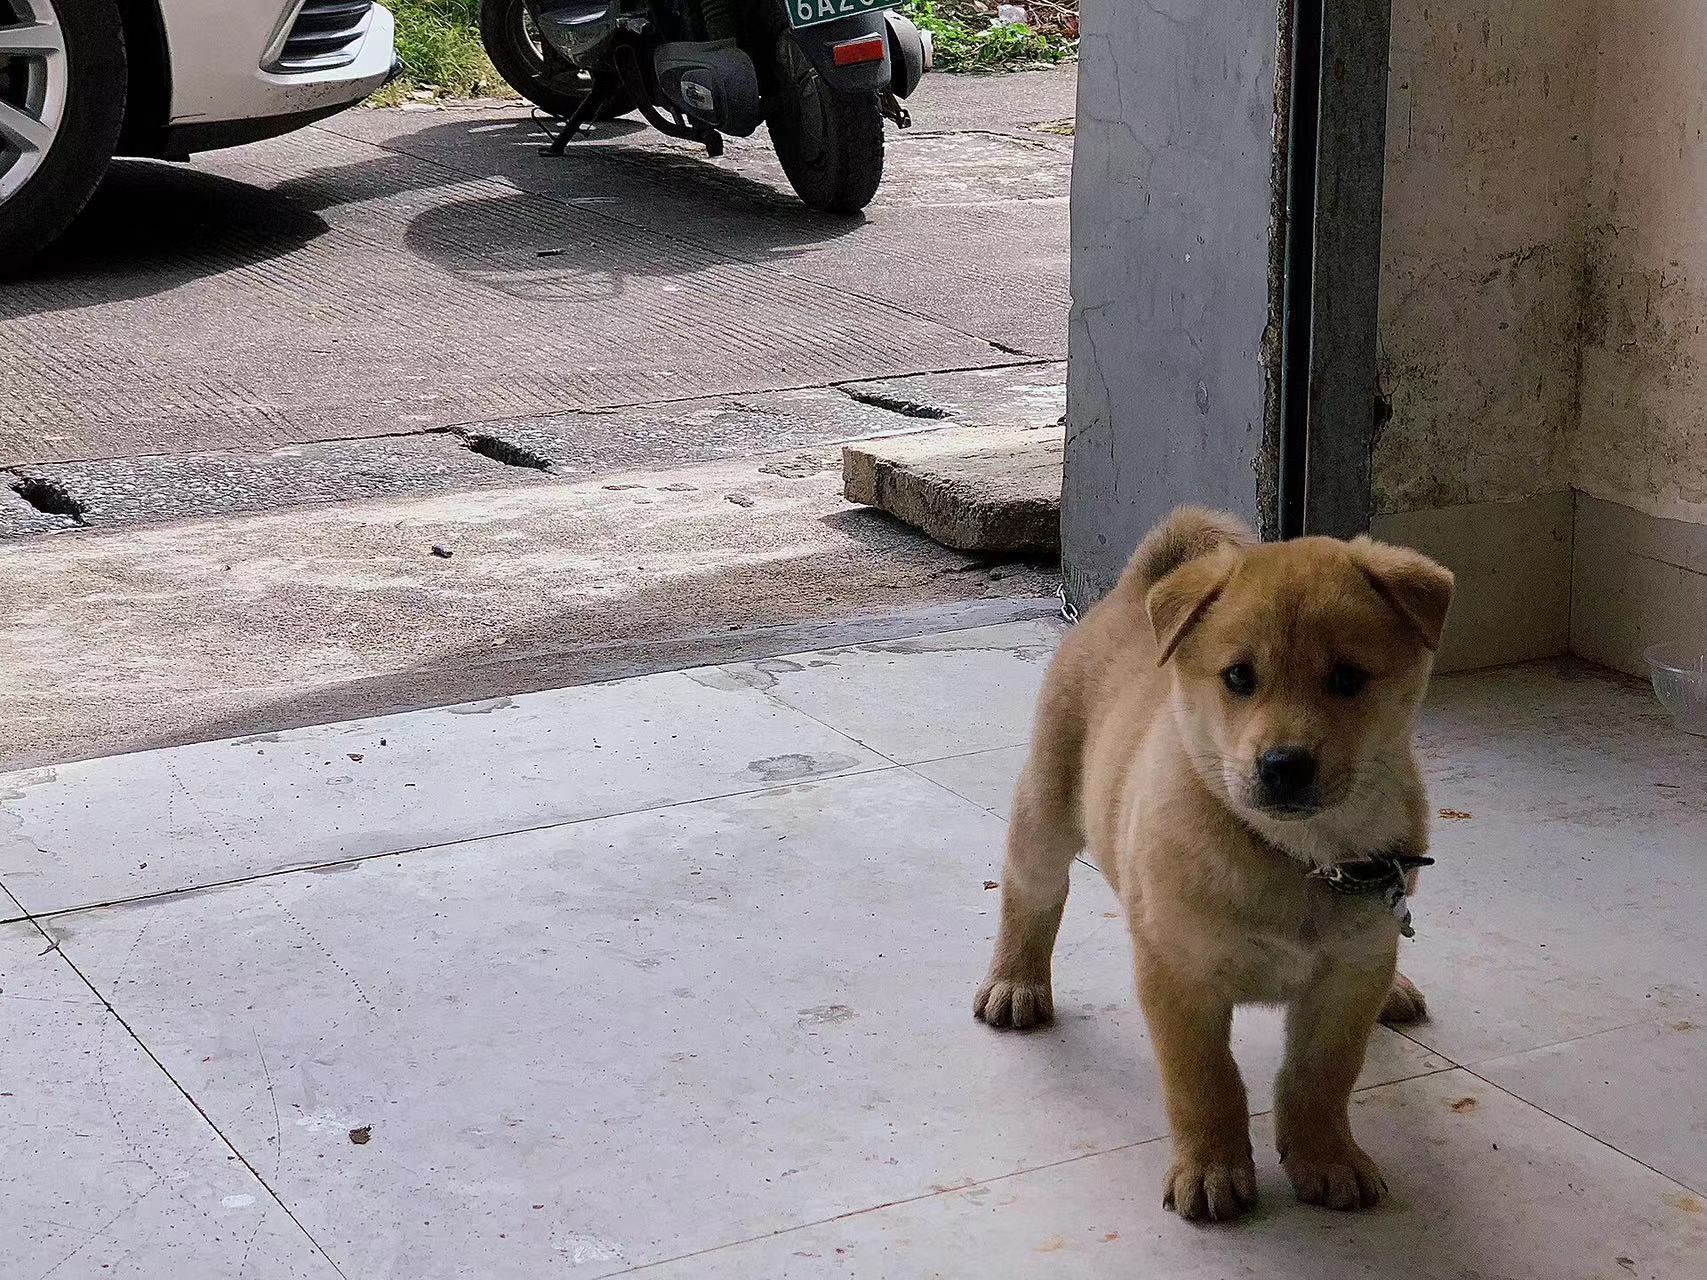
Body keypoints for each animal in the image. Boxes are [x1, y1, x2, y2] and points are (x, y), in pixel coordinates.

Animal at [976, 505, 1454, 1228]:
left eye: (1348, 678)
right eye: (1238, 678)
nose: (1283, 765)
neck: (1299, 857)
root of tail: (1129, 591)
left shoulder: (1343, 982)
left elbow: (1321, 1076)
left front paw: (1327, 1158)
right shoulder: (1180, 976)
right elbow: (1206, 1083)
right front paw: (1212, 1170)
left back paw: (1394, 990)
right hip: (1047, 807)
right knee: (1031, 894)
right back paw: (1015, 984)